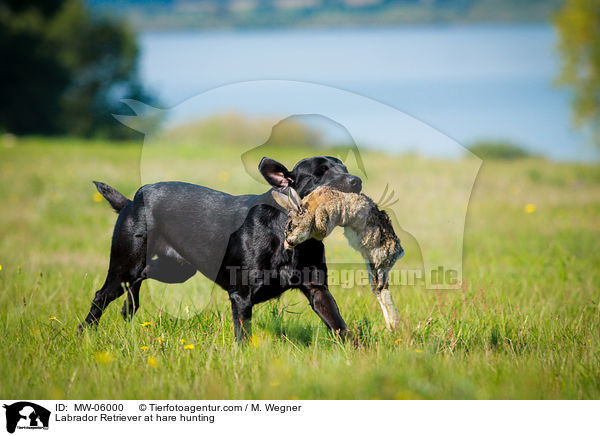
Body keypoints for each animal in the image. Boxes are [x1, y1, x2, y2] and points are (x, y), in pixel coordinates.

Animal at [79, 157, 360, 340]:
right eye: (320, 173)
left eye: (344, 168)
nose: (356, 180)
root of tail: (130, 201)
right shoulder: (241, 295)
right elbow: (243, 336)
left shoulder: (317, 289)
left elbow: (340, 326)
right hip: (126, 263)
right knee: (102, 295)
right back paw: (84, 333)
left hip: (176, 269)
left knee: (141, 277)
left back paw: (128, 310)